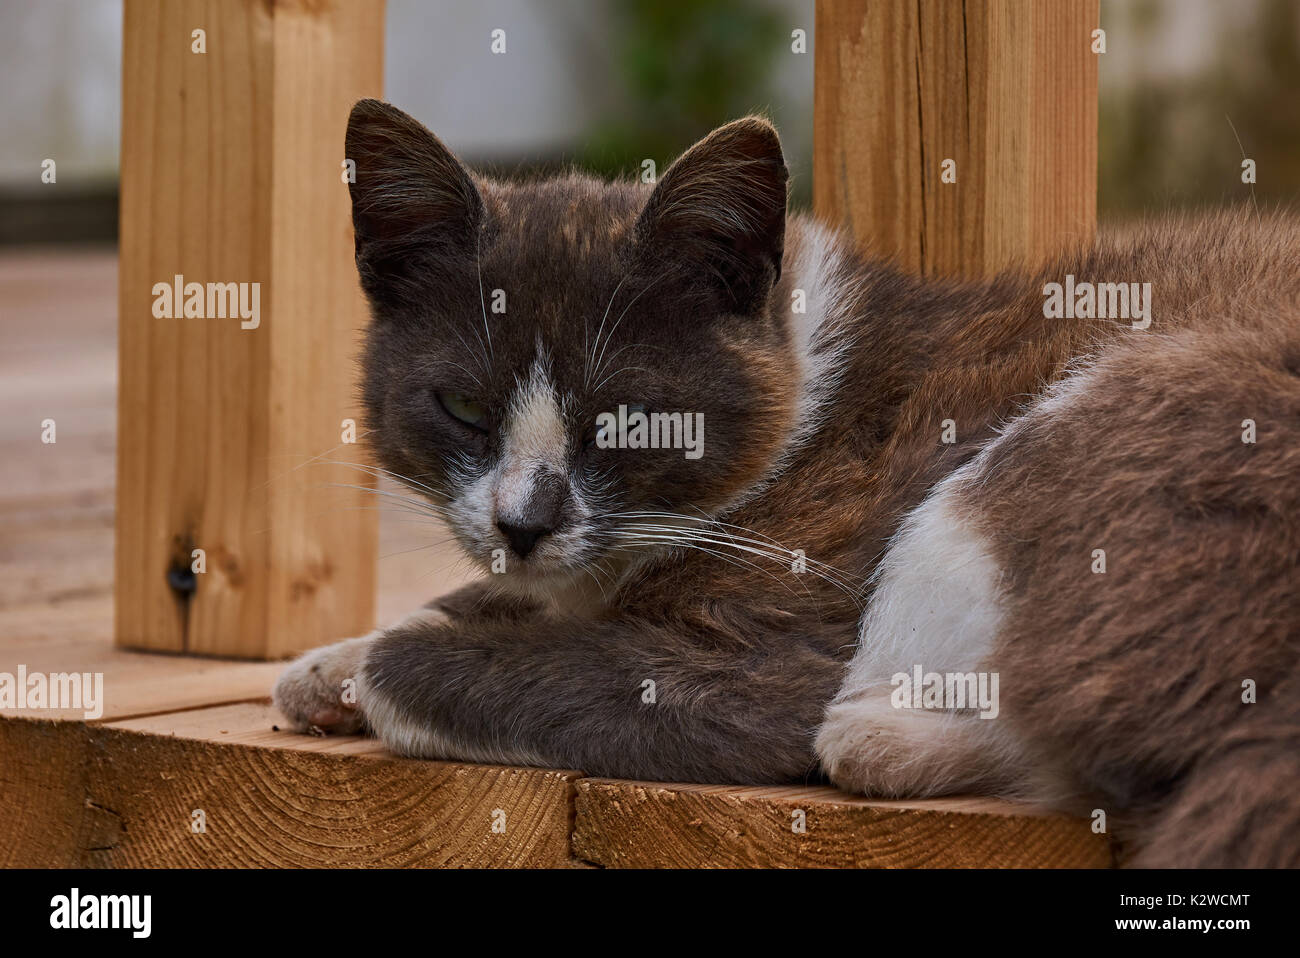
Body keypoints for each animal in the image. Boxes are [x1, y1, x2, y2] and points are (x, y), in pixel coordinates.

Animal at [274, 100, 1300, 868]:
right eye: (462, 406)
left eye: (631, 419)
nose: (522, 523)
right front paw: (331, 662)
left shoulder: (786, 630)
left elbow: (444, 661)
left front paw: (371, 664)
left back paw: (886, 737)